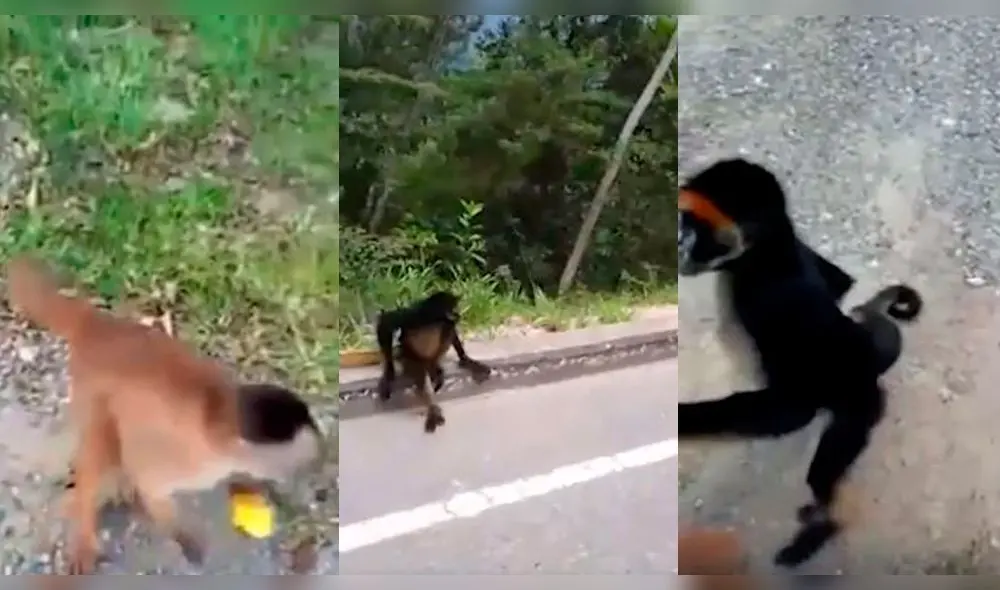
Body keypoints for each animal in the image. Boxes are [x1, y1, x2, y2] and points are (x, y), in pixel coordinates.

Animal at [5, 255, 324, 574]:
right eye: (304, 457)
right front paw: (180, 533)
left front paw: (250, 483)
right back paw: (86, 521)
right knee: (102, 443)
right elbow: (149, 485)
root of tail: (99, 324)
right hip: (91, 391)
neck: (216, 417)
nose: (318, 467)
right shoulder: (184, 459)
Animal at [375, 291, 492, 433]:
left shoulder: (441, 320)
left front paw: (465, 359)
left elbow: (450, 327)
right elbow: (386, 322)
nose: (458, 314)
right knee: (419, 375)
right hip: (409, 357)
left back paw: (436, 369)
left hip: (434, 354)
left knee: (448, 329)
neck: (433, 319)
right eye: (453, 308)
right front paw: (389, 374)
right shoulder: (413, 315)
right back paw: (433, 410)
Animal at [676, 158, 923, 568]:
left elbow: (788, 412)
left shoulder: (763, 286)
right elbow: (842, 283)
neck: (773, 248)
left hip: (858, 405)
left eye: (698, 227)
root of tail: (867, 367)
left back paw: (823, 526)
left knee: (821, 472)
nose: (682, 242)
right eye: (687, 221)